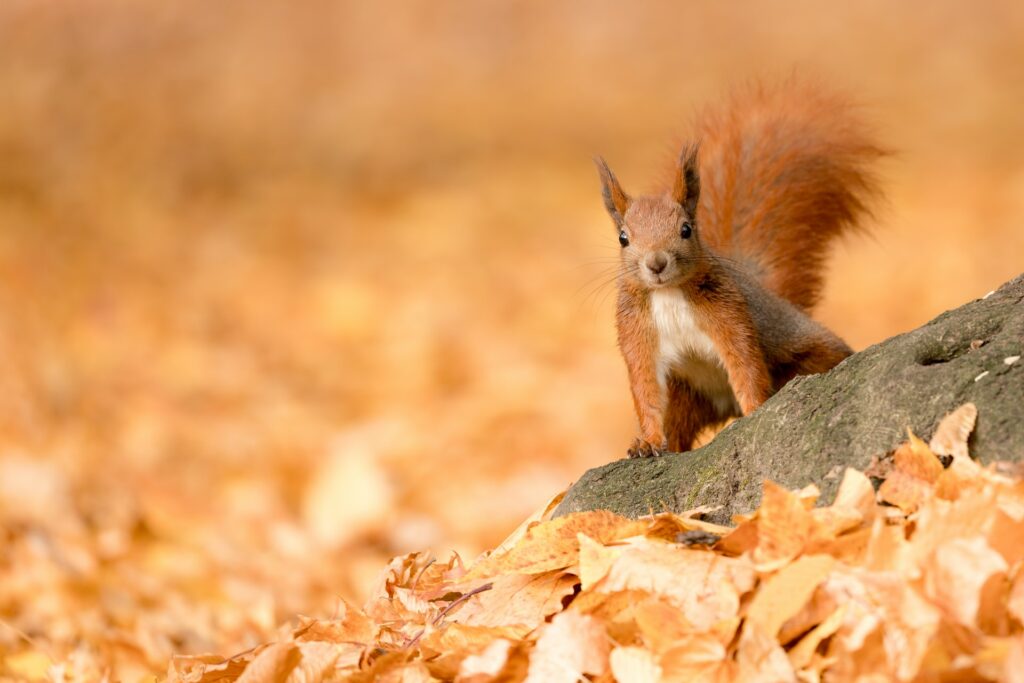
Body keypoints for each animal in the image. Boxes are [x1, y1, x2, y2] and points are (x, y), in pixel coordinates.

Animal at [598, 81, 884, 458]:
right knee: (678, 424)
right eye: (623, 238)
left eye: (686, 229)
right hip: (687, 395)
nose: (656, 263)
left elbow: (746, 365)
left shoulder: (730, 316)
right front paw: (648, 441)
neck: (669, 294)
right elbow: (645, 389)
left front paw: (756, 411)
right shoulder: (637, 334)